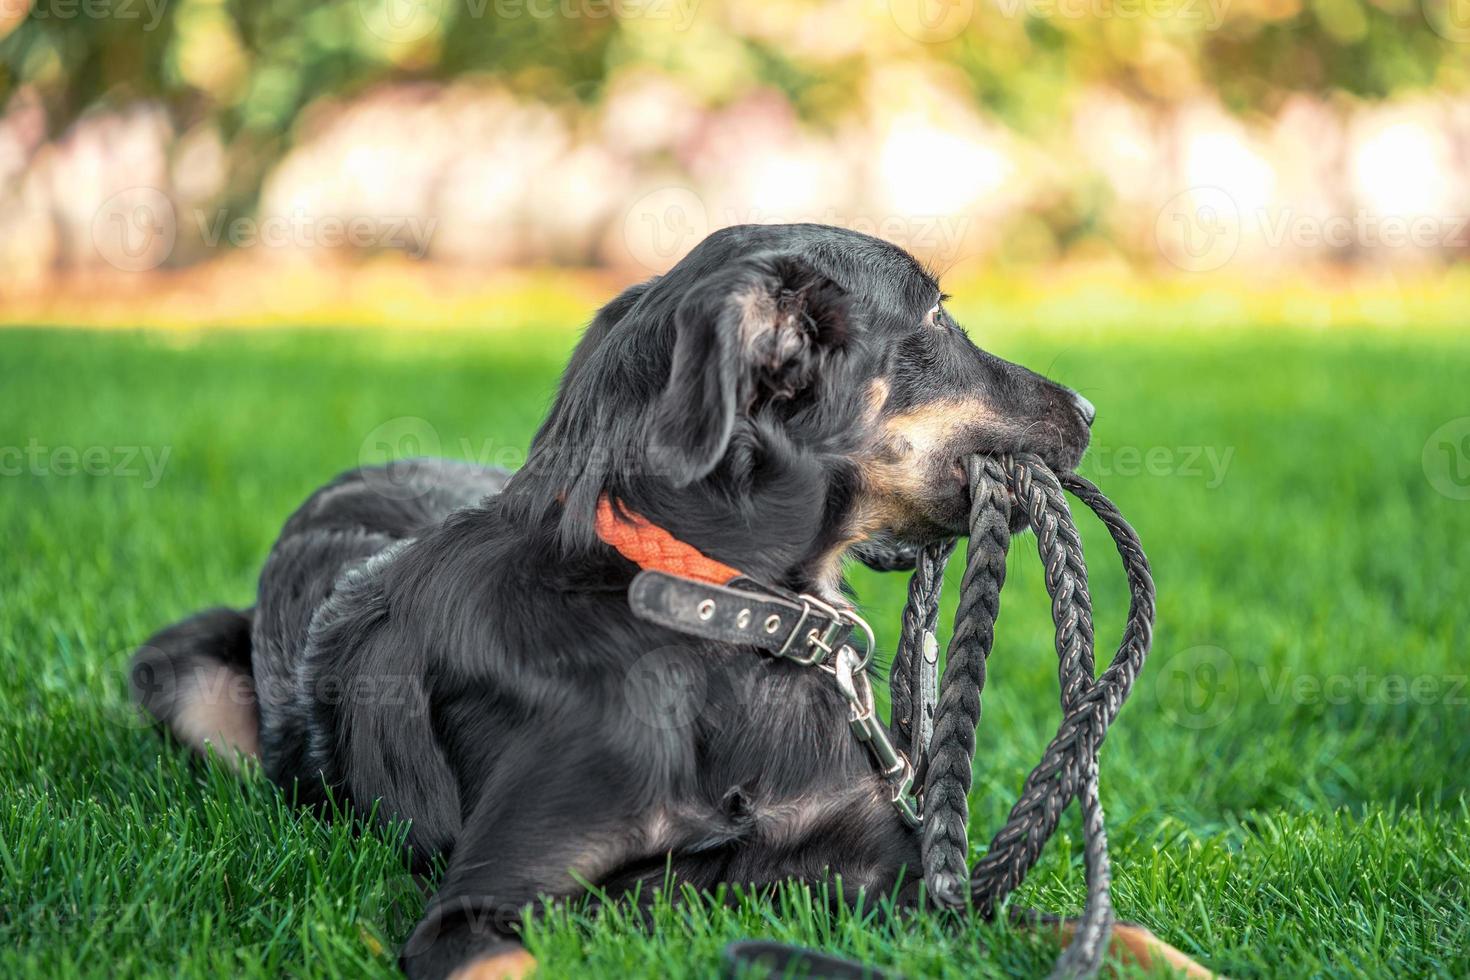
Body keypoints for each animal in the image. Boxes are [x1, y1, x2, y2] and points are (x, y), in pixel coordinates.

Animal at [135, 226, 1093, 975]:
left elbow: (1083, 926)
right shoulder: (480, 906)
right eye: (935, 318)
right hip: (183, 679)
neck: (721, 617)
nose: (1088, 408)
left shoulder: (900, 873)